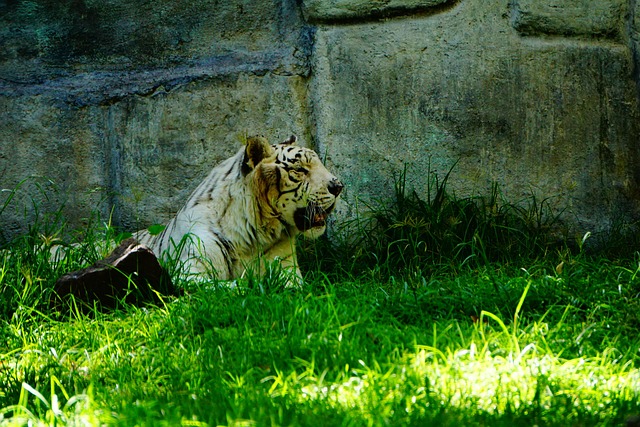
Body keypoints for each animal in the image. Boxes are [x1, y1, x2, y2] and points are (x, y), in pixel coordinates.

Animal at [134, 134, 343, 285]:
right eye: (299, 170)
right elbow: (232, 286)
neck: (254, 235)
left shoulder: (288, 269)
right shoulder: (189, 272)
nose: (339, 186)